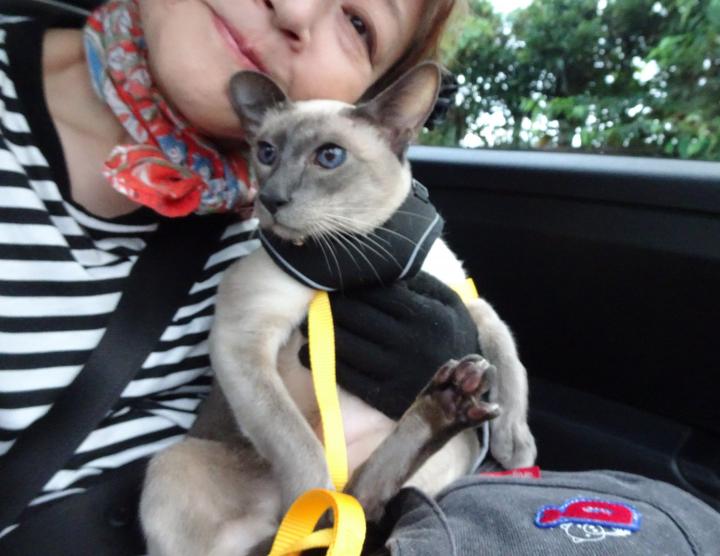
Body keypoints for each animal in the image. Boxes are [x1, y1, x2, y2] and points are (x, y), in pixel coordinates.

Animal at [140, 62, 536, 556]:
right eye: (266, 152)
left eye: (329, 157)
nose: (271, 199)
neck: (358, 259)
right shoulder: (241, 336)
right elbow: (300, 448)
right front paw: (311, 501)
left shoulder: (463, 300)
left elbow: (507, 352)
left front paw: (516, 443)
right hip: (173, 464)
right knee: (326, 516)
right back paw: (315, 521)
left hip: (454, 449)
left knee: (362, 501)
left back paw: (447, 404)